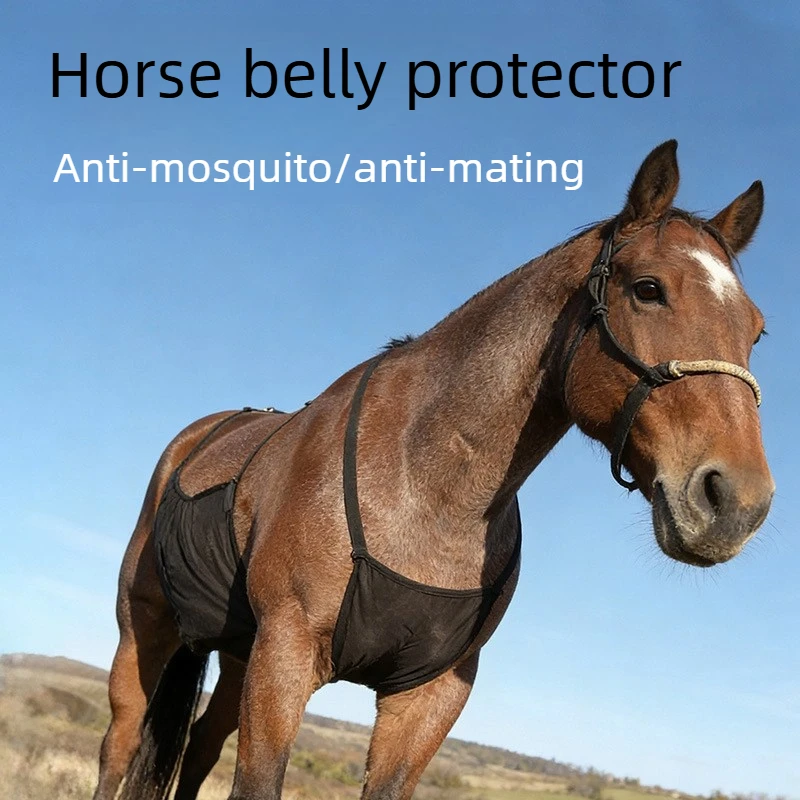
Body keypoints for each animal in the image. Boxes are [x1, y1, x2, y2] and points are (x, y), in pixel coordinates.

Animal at [93, 140, 774, 800]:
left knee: (200, 748)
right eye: (648, 289)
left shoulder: (430, 695)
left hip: (237, 656)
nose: (738, 503)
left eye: (758, 331)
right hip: (147, 632)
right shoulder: (284, 657)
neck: (427, 487)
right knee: (119, 745)